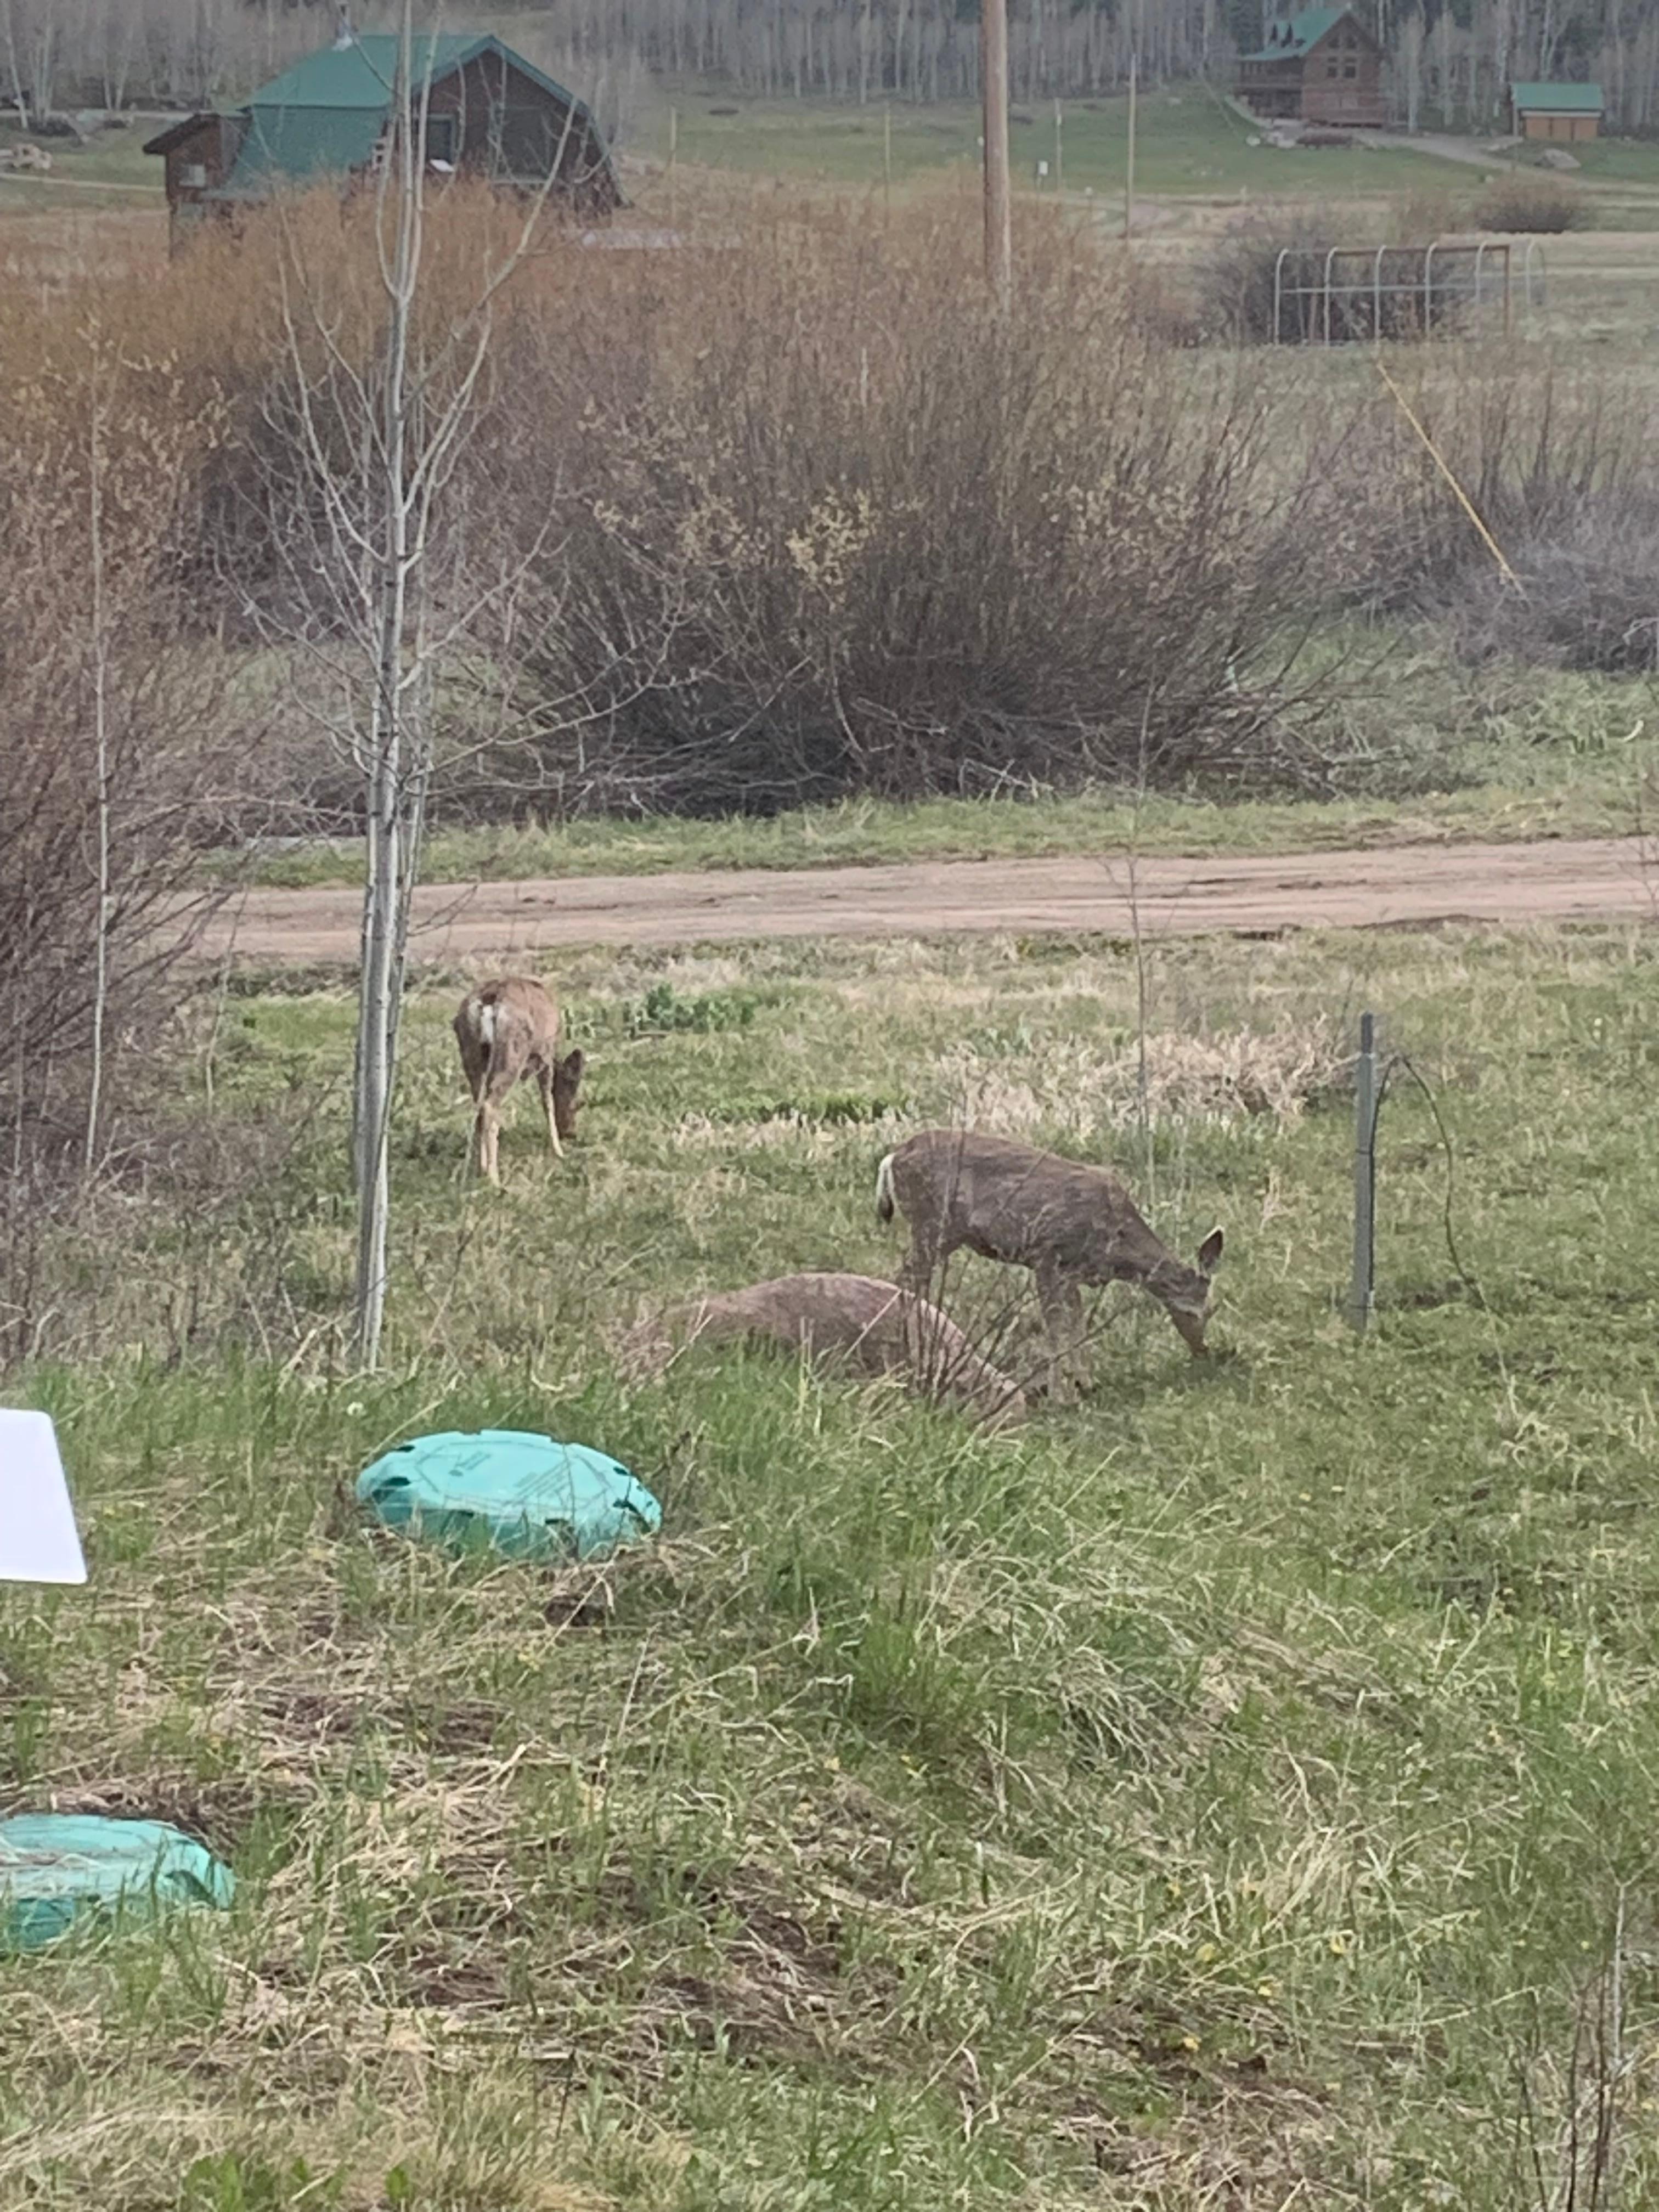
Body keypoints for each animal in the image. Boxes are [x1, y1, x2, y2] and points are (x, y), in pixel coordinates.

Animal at [453, 976, 584, 1186]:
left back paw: (482, 1169)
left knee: (479, 1106)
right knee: (489, 1106)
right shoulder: (545, 1056)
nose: (571, 1133)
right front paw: (559, 1152)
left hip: (471, 1053)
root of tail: (490, 999)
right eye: (576, 1102)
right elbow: (547, 1101)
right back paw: (495, 1179)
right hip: (513, 1053)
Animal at [876, 1129, 1223, 1401]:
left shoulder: (1072, 1272)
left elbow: (1077, 1322)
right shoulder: (1046, 1256)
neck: (1115, 1240)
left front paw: (1086, 1383)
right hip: (932, 1225)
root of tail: (893, 1157)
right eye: (1198, 1312)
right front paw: (1061, 1395)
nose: (1203, 1350)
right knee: (905, 1280)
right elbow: (1056, 1327)